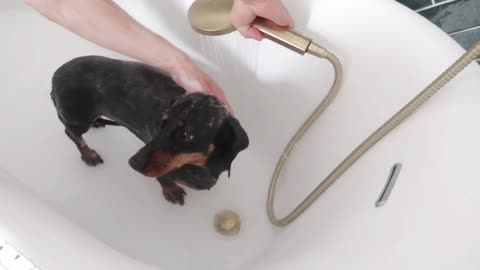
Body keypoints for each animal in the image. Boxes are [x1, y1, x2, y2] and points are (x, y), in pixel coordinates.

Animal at [50, 56, 249, 206]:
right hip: (78, 119)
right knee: (71, 133)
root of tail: (55, 76)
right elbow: (163, 178)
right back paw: (88, 154)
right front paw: (171, 191)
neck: (195, 165)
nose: (133, 163)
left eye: (188, 134)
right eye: (163, 123)